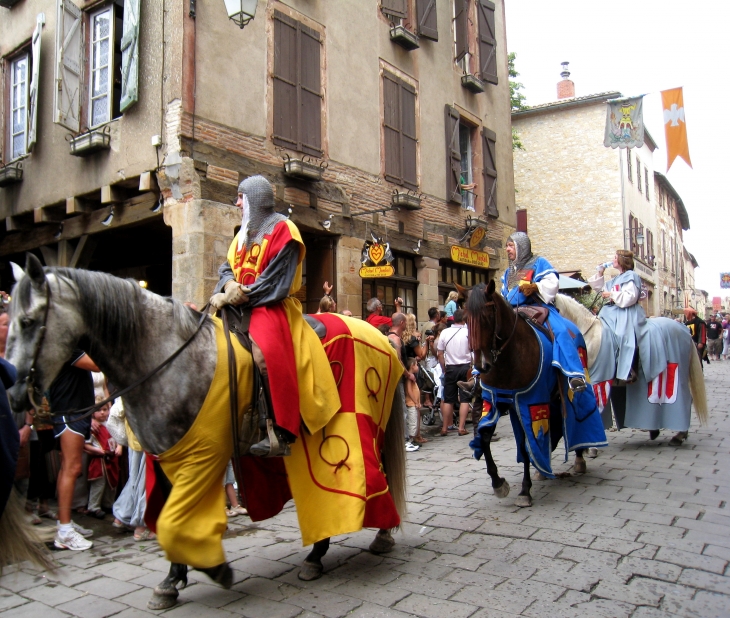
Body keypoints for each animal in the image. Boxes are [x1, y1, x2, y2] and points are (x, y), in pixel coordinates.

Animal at [5, 253, 406, 608]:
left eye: (28, 321)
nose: (13, 394)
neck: (165, 357)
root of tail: (379, 335)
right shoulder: (166, 456)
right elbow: (169, 517)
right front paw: (172, 580)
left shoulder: (203, 455)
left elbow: (176, 521)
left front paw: (214, 569)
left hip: (359, 424)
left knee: (371, 473)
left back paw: (352, 543)